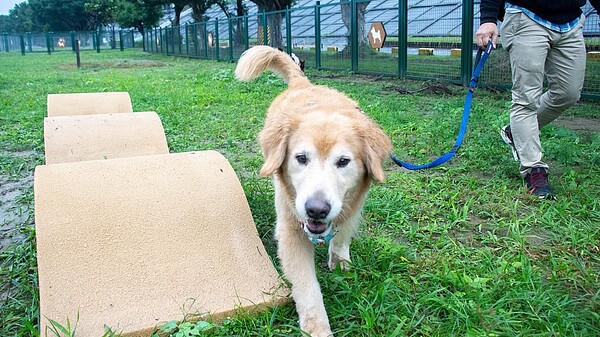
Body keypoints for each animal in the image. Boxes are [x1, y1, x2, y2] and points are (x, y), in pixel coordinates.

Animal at [234, 45, 394, 336]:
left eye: (343, 161)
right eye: (301, 158)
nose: (316, 210)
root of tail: (303, 83)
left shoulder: (353, 204)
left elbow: (342, 235)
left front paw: (340, 260)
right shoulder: (290, 229)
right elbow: (307, 287)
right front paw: (317, 326)